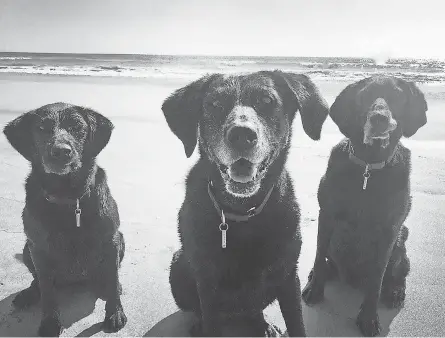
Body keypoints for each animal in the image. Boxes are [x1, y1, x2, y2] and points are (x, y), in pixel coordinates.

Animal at [3, 102, 126, 336]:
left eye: (77, 127)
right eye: (42, 128)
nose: (61, 152)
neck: (68, 197)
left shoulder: (111, 241)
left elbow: (113, 279)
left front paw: (114, 313)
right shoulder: (39, 249)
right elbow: (48, 292)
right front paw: (50, 322)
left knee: (107, 275)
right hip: (27, 249)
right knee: (38, 282)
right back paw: (29, 293)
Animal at [161, 70, 328, 336]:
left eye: (267, 100)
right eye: (215, 104)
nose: (241, 135)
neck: (243, 211)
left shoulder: (288, 275)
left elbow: (297, 324)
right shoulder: (207, 284)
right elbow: (210, 319)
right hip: (178, 264)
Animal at [302, 75, 426, 336]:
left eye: (397, 95)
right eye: (365, 96)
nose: (379, 118)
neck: (368, 167)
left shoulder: (389, 230)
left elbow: (377, 278)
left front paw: (369, 317)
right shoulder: (326, 215)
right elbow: (318, 255)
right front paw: (315, 288)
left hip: (401, 239)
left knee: (400, 272)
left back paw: (395, 290)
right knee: (326, 262)